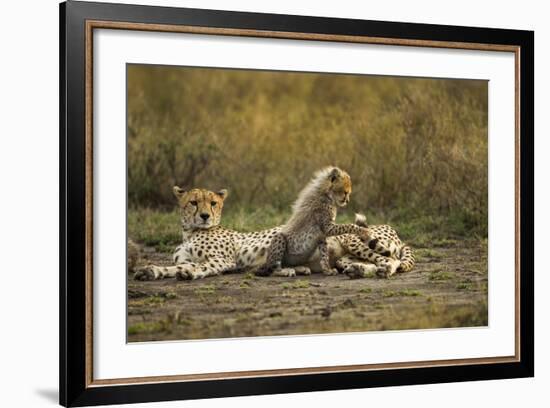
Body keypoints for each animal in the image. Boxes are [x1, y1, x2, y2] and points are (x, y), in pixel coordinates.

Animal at [134, 187, 414, 280]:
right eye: (193, 202)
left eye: (213, 203)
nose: (204, 216)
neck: (190, 232)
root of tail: (392, 227)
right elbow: (173, 267)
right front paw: (151, 271)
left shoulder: (223, 260)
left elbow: (200, 267)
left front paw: (189, 274)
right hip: (344, 255)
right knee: (368, 262)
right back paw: (358, 270)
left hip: (355, 240)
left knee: (391, 260)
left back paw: (382, 271)